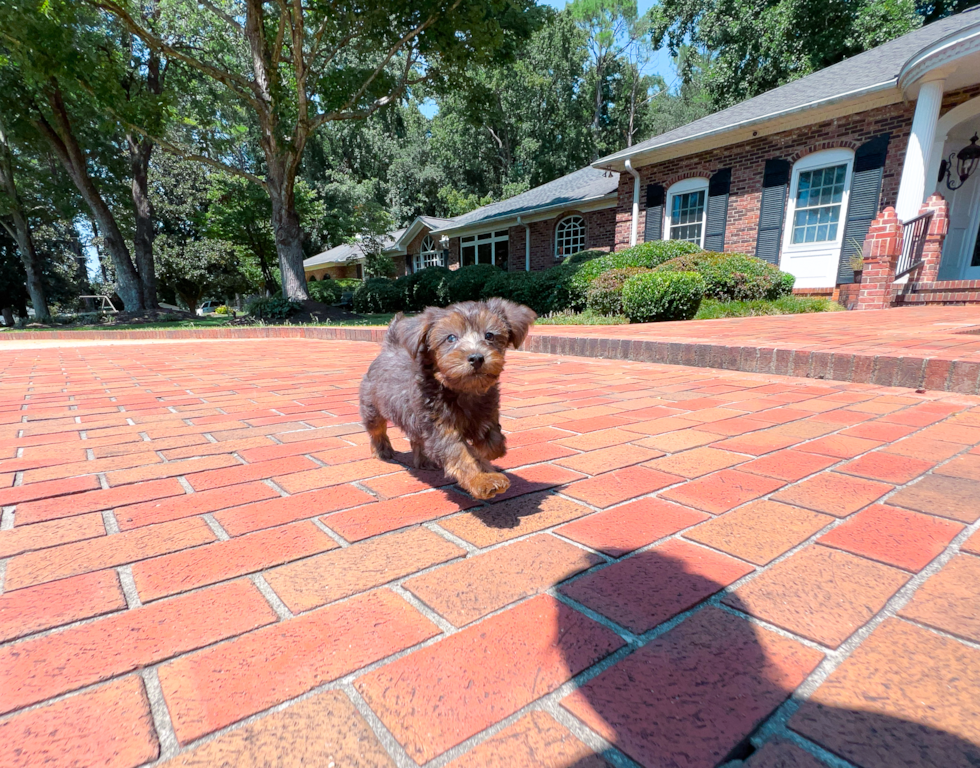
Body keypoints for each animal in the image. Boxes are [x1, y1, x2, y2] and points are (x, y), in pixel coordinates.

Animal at [358, 296, 536, 500]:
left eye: (489, 335)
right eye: (451, 338)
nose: (476, 357)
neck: (462, 390)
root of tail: (389, 347)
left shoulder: (487, 412)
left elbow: (492, 437)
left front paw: (489, 451)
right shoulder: (441, 428)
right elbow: (463, 456)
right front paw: (482, 480)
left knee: (417, 437)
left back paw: (424, 460)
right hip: (372, 408)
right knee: (377, 430)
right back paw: (382, 451)